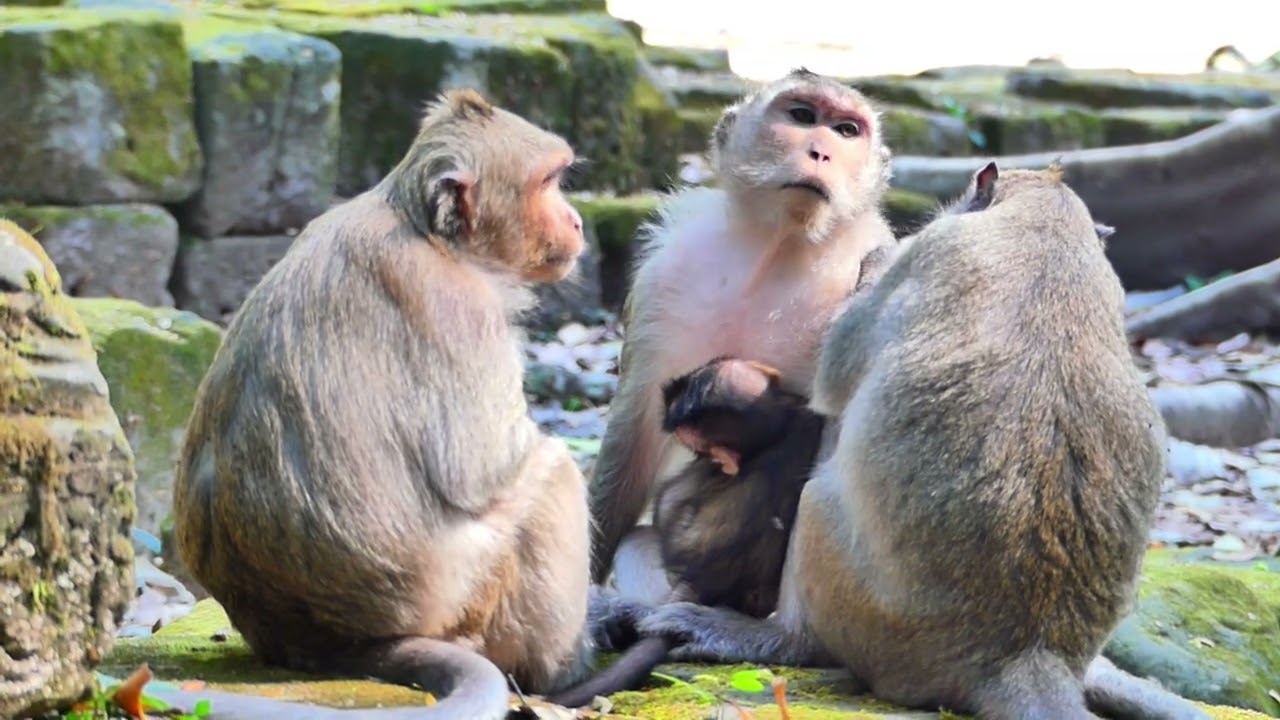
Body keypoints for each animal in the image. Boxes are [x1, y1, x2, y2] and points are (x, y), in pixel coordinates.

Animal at [166, 88, 634, 720]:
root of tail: (323, 642)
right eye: (549, 181)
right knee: (551, 476)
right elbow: (482, 468)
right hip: (461, 593)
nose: (579, 220)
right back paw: (562, 670)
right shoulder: (462, 308)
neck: (428, 233)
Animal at [588, 67, 899, 586]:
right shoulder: (661, 278)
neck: (779, 244)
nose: (821, 152)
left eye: (846, 131)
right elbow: (634, 439)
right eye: (802, 116)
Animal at [633, 161, 1211, 720]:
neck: (1048, 222)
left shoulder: (931, 247)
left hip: (876, 623)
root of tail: (1024, 651)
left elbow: (835, 373)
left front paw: (875, 257)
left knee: (819, 491)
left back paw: (782, 638)